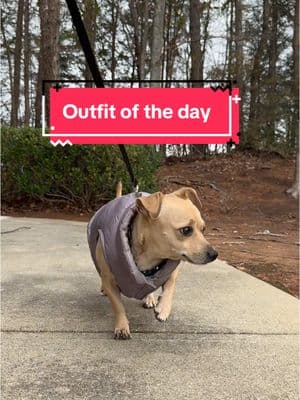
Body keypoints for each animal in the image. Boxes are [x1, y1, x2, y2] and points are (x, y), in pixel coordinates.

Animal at [94, 184, 218, 338]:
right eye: (186, 230)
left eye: (203, 229)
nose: (214, 254)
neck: (151, 256)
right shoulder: (110, 281)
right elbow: (118, 306)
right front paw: (122, 326)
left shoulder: (172, 267)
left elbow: (170, 286)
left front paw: (163, 308)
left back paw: (150, 298)